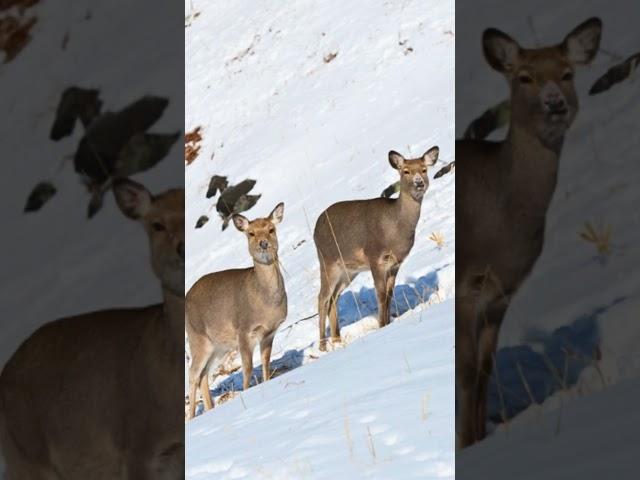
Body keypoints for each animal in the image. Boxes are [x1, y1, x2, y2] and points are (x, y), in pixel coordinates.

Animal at [185, 202, 284, 420]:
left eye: (271, 229)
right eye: (251, 233)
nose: (263, 244)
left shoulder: (269, 332)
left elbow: (265, 363)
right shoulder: (243, 331)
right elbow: (247, 368)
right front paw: (248, 393)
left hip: (218, 346)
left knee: (203, 374)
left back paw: (210, 409)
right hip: (198, 338)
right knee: (193, 373)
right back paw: (191, 416)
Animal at [312, 144, 438, 350]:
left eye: (424, 169)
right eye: (406, 171)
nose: (419, 183)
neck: (395, 230)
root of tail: (315, 230)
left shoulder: (395, 263)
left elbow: (389, 294)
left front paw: (387, 322)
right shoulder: (374, 257)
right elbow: (380, 294)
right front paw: (381, 326)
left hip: (348, 271)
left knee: (333, 298)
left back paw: (337, 339)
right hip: (328, 261)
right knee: (322, 298)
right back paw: (323, 346)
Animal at [458, 17, 604, 446]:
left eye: (567, 73)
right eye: (524, 77)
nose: (555, 102)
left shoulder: (502, 293)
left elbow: (483, 370)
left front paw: (479, 437)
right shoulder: (466, 285)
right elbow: (465, 370)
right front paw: (465, 444)